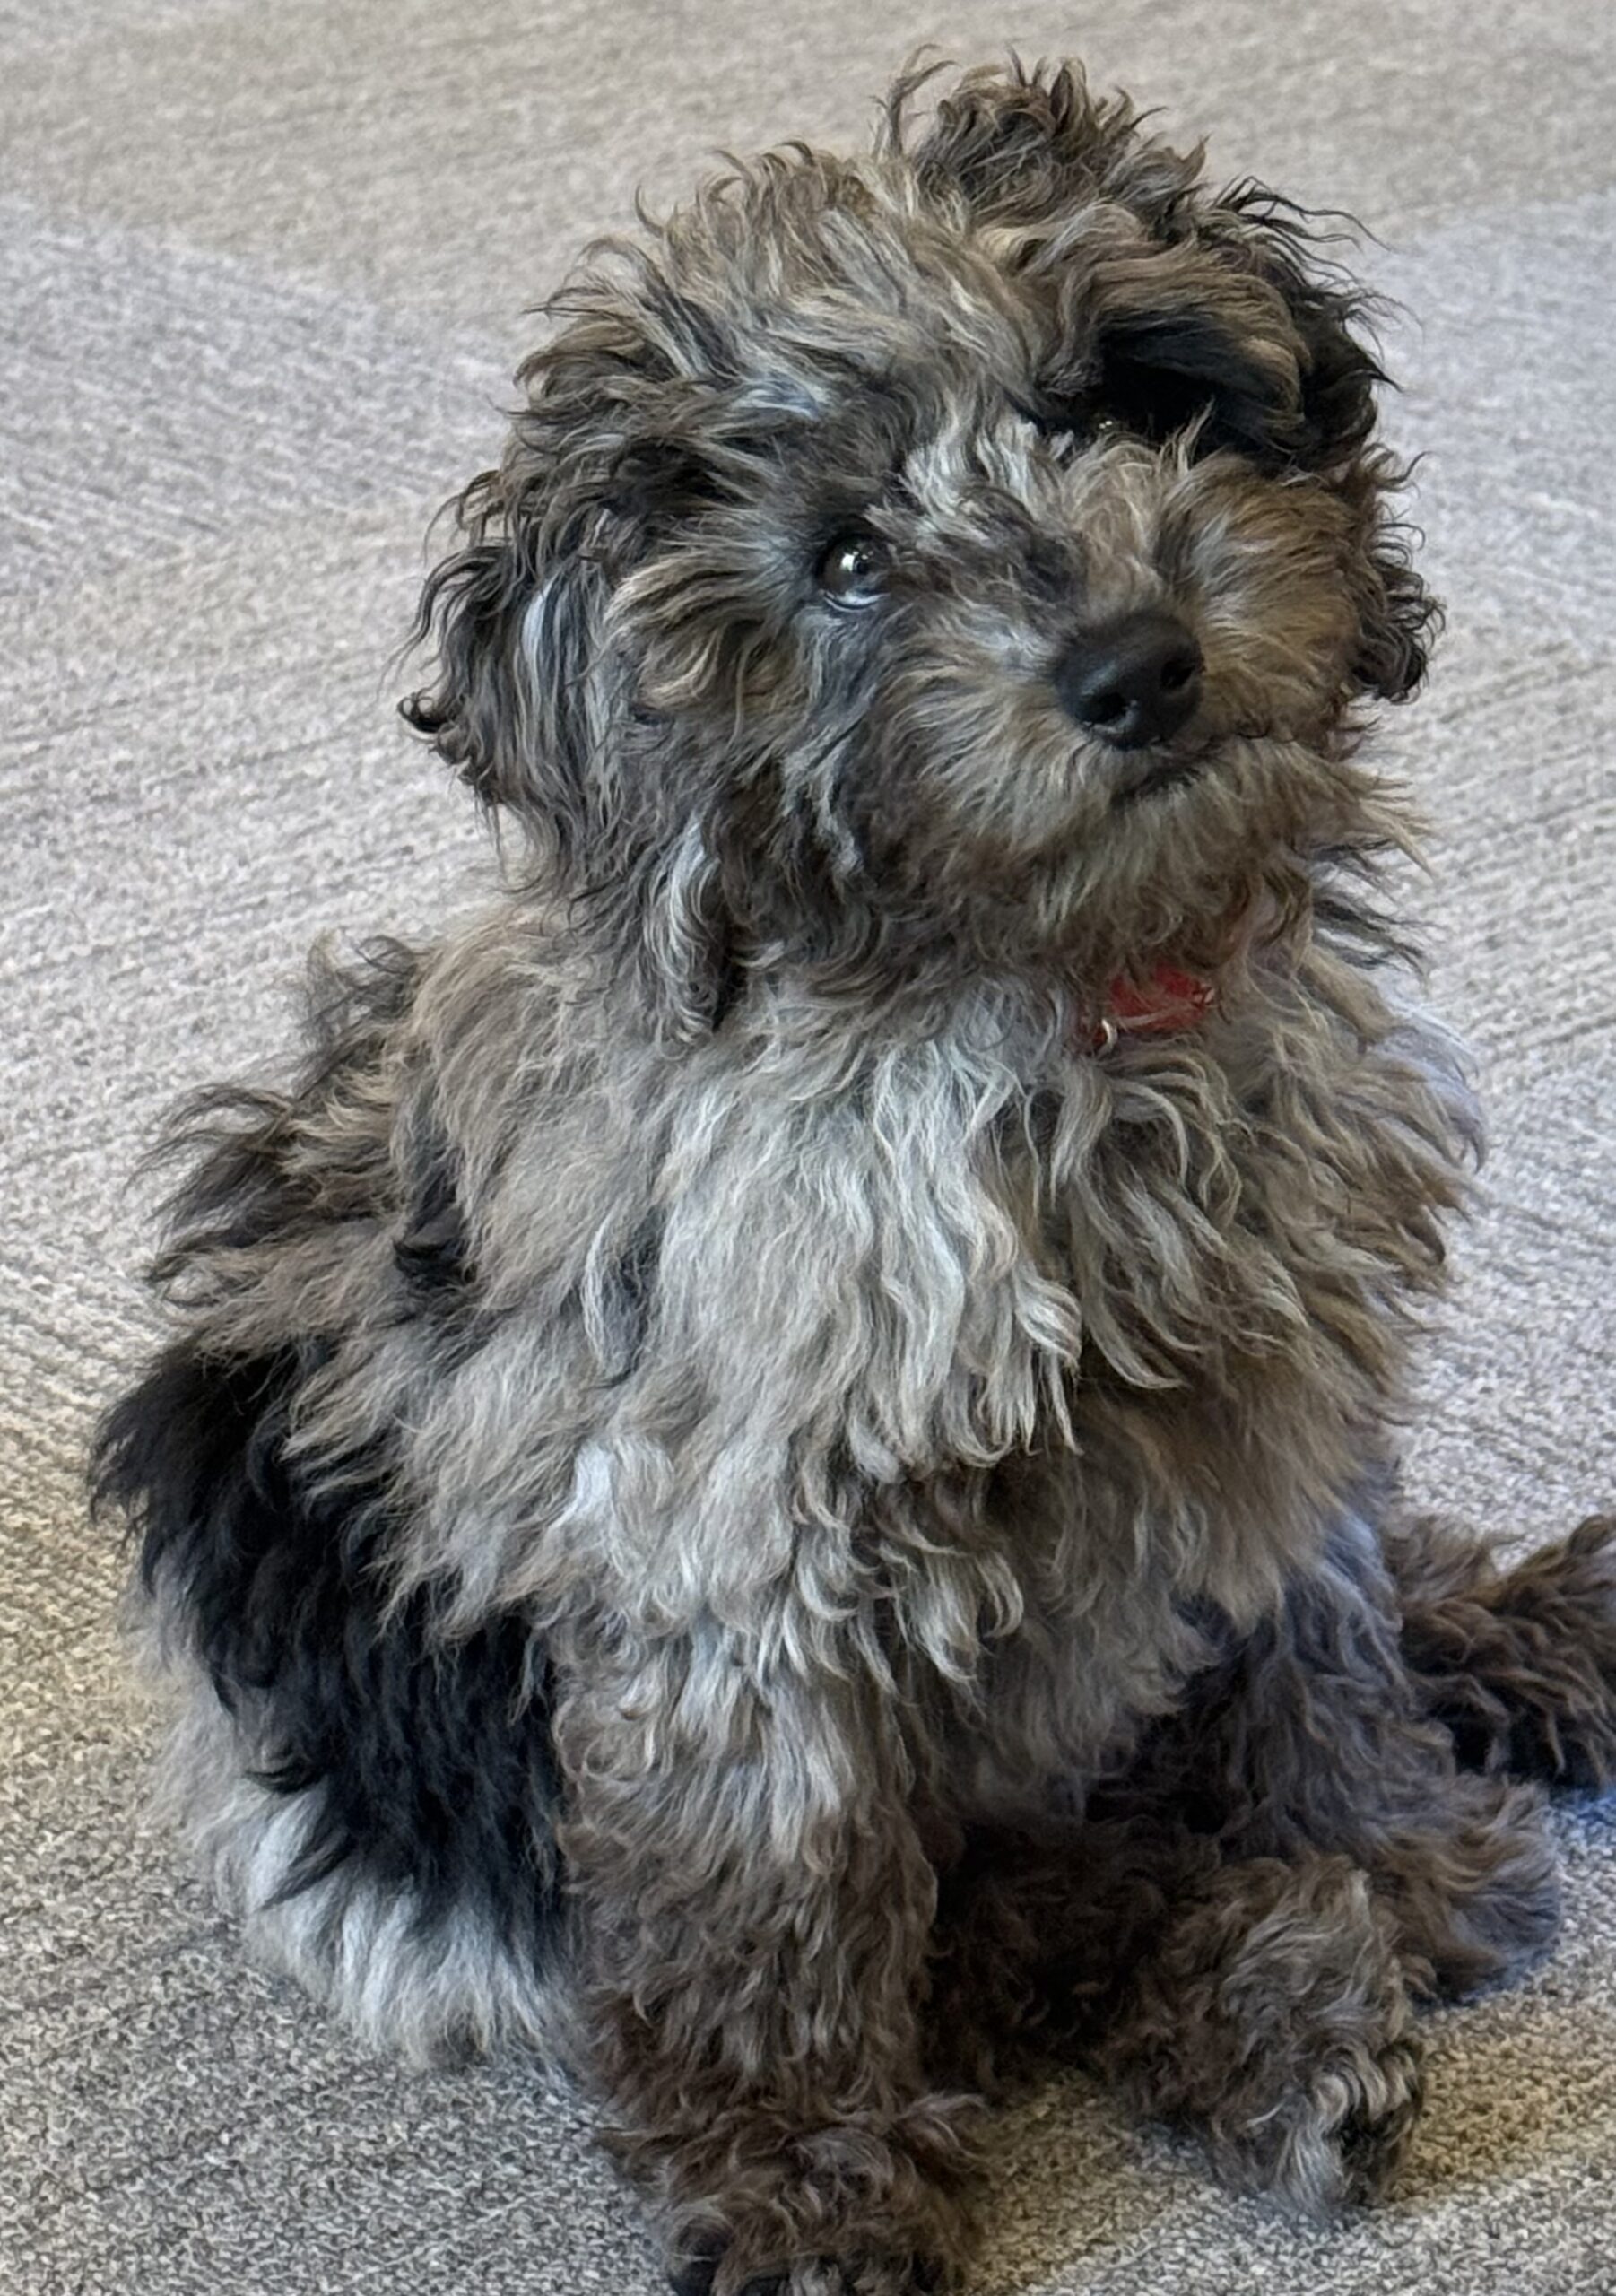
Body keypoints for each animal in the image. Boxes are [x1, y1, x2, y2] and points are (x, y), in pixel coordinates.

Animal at [93, 56, 1616, 2296]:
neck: (1057, 998)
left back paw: (1516, 1650)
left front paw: (1380, 1844)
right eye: (837, 554)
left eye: (1124, 393)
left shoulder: (1278, 1370)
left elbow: (1314, 1633)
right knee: (991, 1909)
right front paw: (798, 2158)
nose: (1134, 660)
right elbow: (783, 1869)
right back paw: (1258, 2000)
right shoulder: (719, 1518)